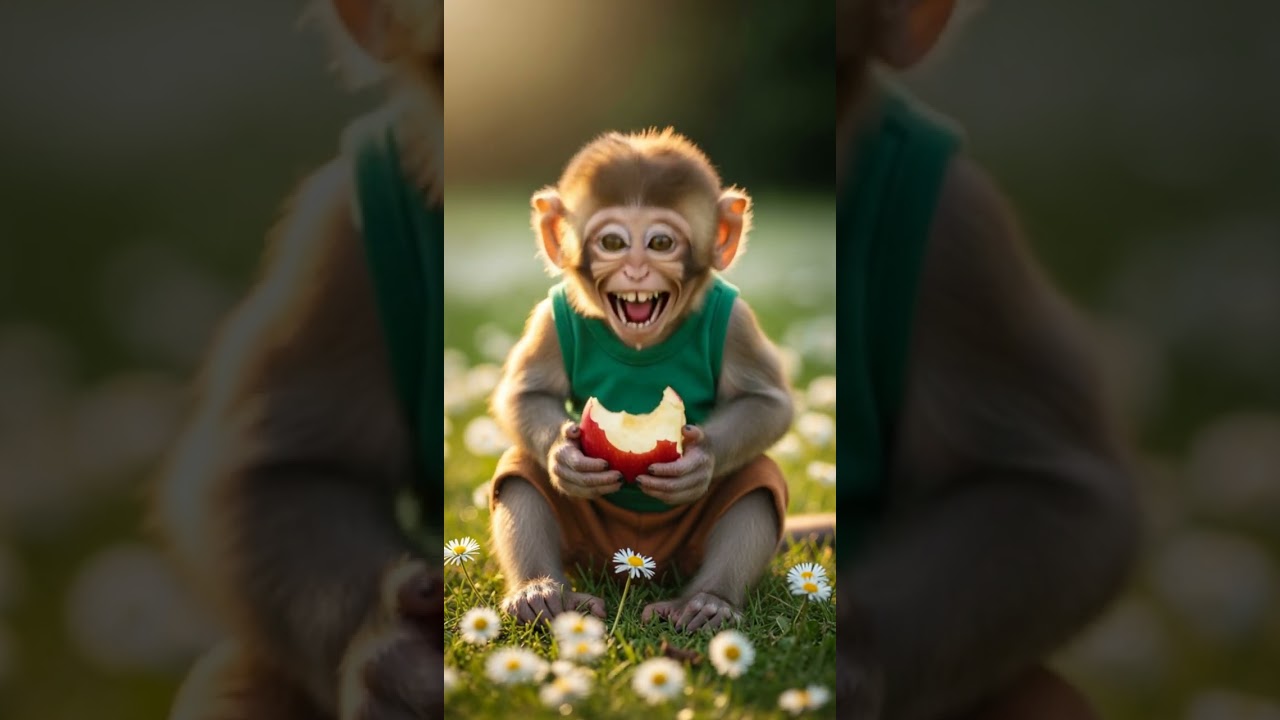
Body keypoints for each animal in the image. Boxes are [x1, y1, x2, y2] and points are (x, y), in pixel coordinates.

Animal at [486, 128, 795, 634]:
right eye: (613, 242)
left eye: (660, 242)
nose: (635, 270)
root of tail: (635, 563)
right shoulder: (551, 316)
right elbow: (527, 391)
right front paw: (564, 457)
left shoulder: (737, 324)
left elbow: (766, 400)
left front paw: (700, 462)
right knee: (520, 473)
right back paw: (542, 596)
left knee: (756, 484)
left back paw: (704, 604)